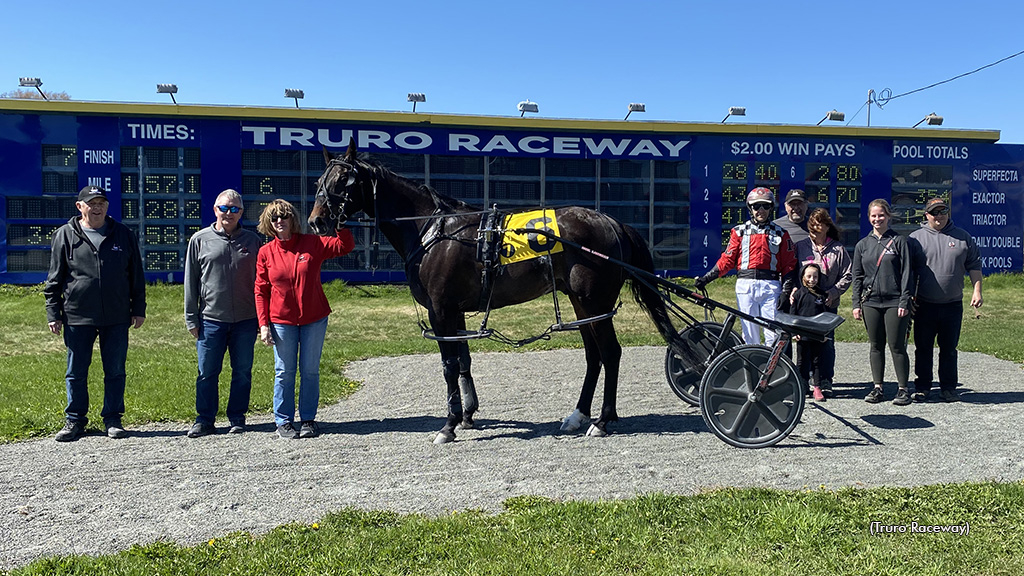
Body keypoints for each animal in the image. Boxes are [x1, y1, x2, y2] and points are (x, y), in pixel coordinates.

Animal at [305, 140, 688, 444]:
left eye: (343, 181)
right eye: (319, 181)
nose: (316, 221)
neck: (434, 230)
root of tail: (612, 222)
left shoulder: (440, 310)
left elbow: (448, 365)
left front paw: (448, 425)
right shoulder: (454, 310)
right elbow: (463, 361)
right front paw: (467, 415)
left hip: (594, 301)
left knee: (610, 353)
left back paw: (604, 421)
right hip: (582, 304)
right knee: (594, 356)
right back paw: (578, 415)